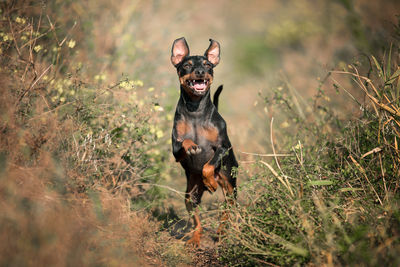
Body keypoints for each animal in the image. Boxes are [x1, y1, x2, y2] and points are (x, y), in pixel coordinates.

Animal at [170, 37, 238, 247]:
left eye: (208, 65)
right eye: (187, 65)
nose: (200, 72)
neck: (196, 110)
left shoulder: (223, 148)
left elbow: (208, 165)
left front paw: (210, 182)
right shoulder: (175, 150)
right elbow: (185, 142)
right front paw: (192, 146)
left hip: (230, 186)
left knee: (227, 210)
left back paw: (222, 231)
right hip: (191, 196)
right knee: (196, 220)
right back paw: (195, 238)